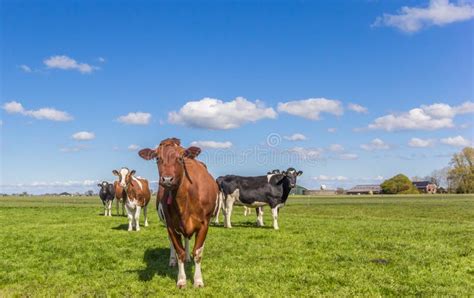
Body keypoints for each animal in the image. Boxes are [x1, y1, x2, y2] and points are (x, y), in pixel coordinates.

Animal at [137, 139, 218, 288]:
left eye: (180, 158)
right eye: (157, 158)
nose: (167, 179)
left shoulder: (204, 224)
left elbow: (198, 253)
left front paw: (198, 280)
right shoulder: (171, 225)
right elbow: (179, 250)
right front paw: (181, 280)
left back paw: (188, 257)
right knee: (173, 243)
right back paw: (173, 260)